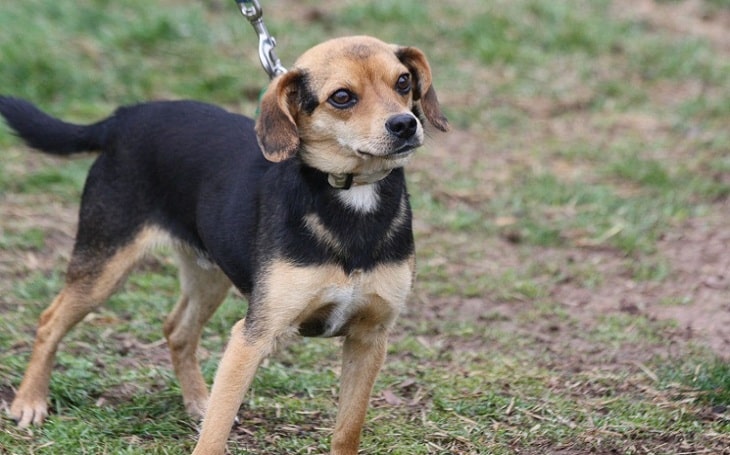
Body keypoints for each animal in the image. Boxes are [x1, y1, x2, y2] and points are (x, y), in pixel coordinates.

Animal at [0, 36, 446, 455]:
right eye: (342, 97)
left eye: (403, 82)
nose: (405, 124)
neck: (353, 198)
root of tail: (123, 117)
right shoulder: (254, 335)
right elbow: (216, 433)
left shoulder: (369, 337)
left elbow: (347, 430)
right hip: (104, 265)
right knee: (50, 320)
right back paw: (29, 401)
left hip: (209, 272)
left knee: (177, 330)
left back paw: (199, 399)